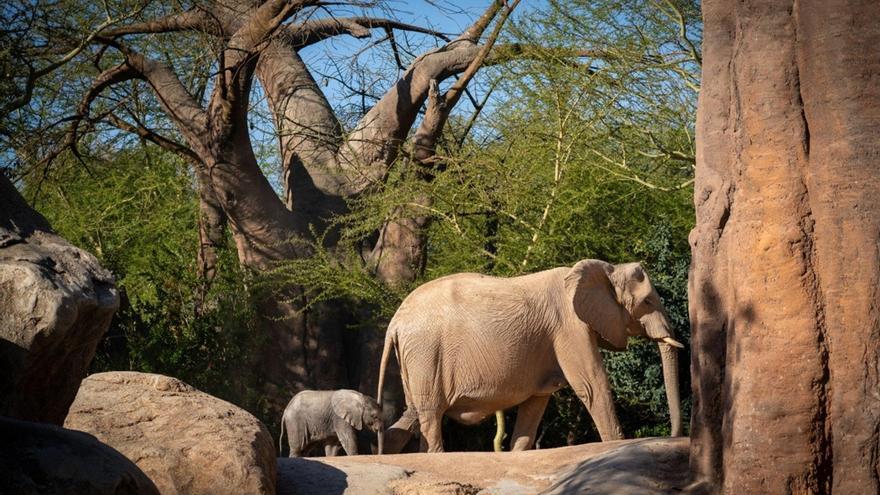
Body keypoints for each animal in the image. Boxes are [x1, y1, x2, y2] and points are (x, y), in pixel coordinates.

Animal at [374, 262, 684, 456]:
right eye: (647, 302)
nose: (673, 435)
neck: (605, 268)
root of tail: (395, 323)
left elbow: (536, 402)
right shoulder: (570, 326)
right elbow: (592, 386)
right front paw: (617, 447)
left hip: (416, 358)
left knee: (412, 414)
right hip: (426, 353)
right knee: (429, 413)